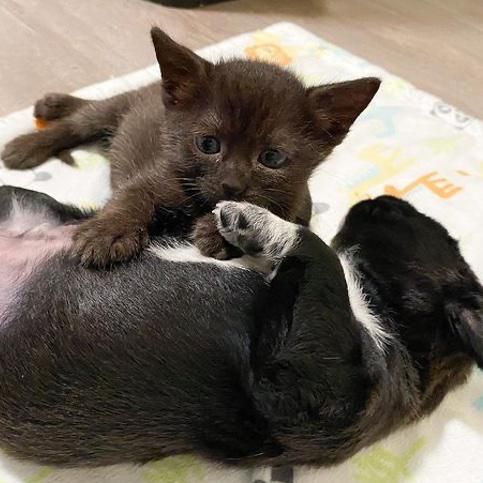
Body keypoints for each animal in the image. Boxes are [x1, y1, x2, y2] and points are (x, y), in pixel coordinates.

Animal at [0, 28, 382, 268]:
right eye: (208, 144)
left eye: (272, 158)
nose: (232, 185)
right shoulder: (155, 176)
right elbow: (131, 197)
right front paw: (108, 233)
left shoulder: (298, 203)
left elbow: (274, 213)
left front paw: (221, 229)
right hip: (114, 109)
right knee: (82, 119)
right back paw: (34, 135)